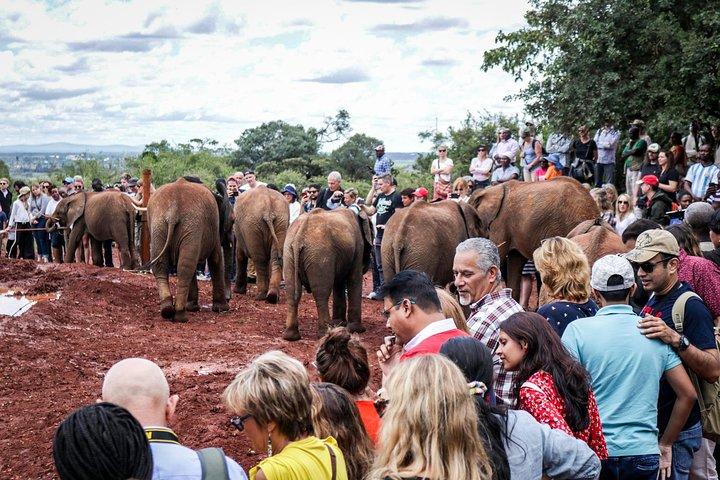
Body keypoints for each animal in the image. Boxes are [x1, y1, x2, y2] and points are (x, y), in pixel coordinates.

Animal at [147, 177, 230, 323]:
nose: (229, 300)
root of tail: (173, 211)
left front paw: (193, 307)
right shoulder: (214, 228)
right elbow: (216, 259)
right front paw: (222, 309)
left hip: (159, 225)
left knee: (164, 264)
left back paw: (167, 310)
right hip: (190, 225)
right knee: (185, 267)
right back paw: (181, 315)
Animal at [282, 208, 373, 341]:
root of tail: (300, 235)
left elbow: (339, 283)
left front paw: (340, 324)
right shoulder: (358, 247)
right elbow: (354, 279)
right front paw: (357, 329)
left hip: (289, 252)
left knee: (292, 291)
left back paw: (291, 336)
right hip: (320, 254)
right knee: (321, 294)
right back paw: (325, 333)